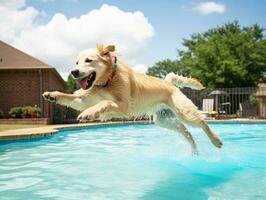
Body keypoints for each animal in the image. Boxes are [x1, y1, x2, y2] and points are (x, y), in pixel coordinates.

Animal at [43, 43, 222, 153]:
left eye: (89, 60)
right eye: (77, 62)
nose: (74, 72)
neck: (107, 81)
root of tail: (168, 82)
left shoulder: (124, 105)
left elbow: (106, 102)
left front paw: (89, 113)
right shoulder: (85, 100)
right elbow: (69, 97)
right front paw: (52, 95)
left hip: (183, 111)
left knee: (202, 122)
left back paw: (216, 141)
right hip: (163, 119)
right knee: (186, 131)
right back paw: (194, 149)